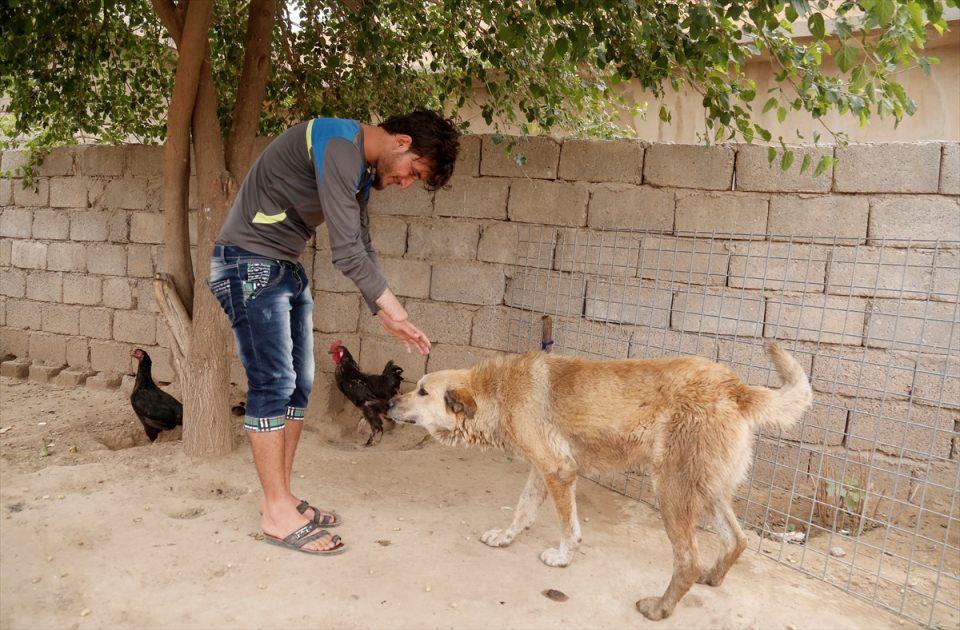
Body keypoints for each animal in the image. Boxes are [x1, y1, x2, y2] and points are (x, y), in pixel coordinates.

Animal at [386, 344, 812, 620]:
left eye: (422, 391)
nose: (388, 403)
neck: (497, 392)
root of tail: (736, 386)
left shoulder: (559, 470)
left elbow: (568, 527)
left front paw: (562, 557)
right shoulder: (541, 469)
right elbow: (523, 509)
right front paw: (506, 537)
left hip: (671, 490)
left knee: (688, 560)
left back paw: (659, 608)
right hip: (706, 489)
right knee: (737, 539)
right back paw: (713, 576)